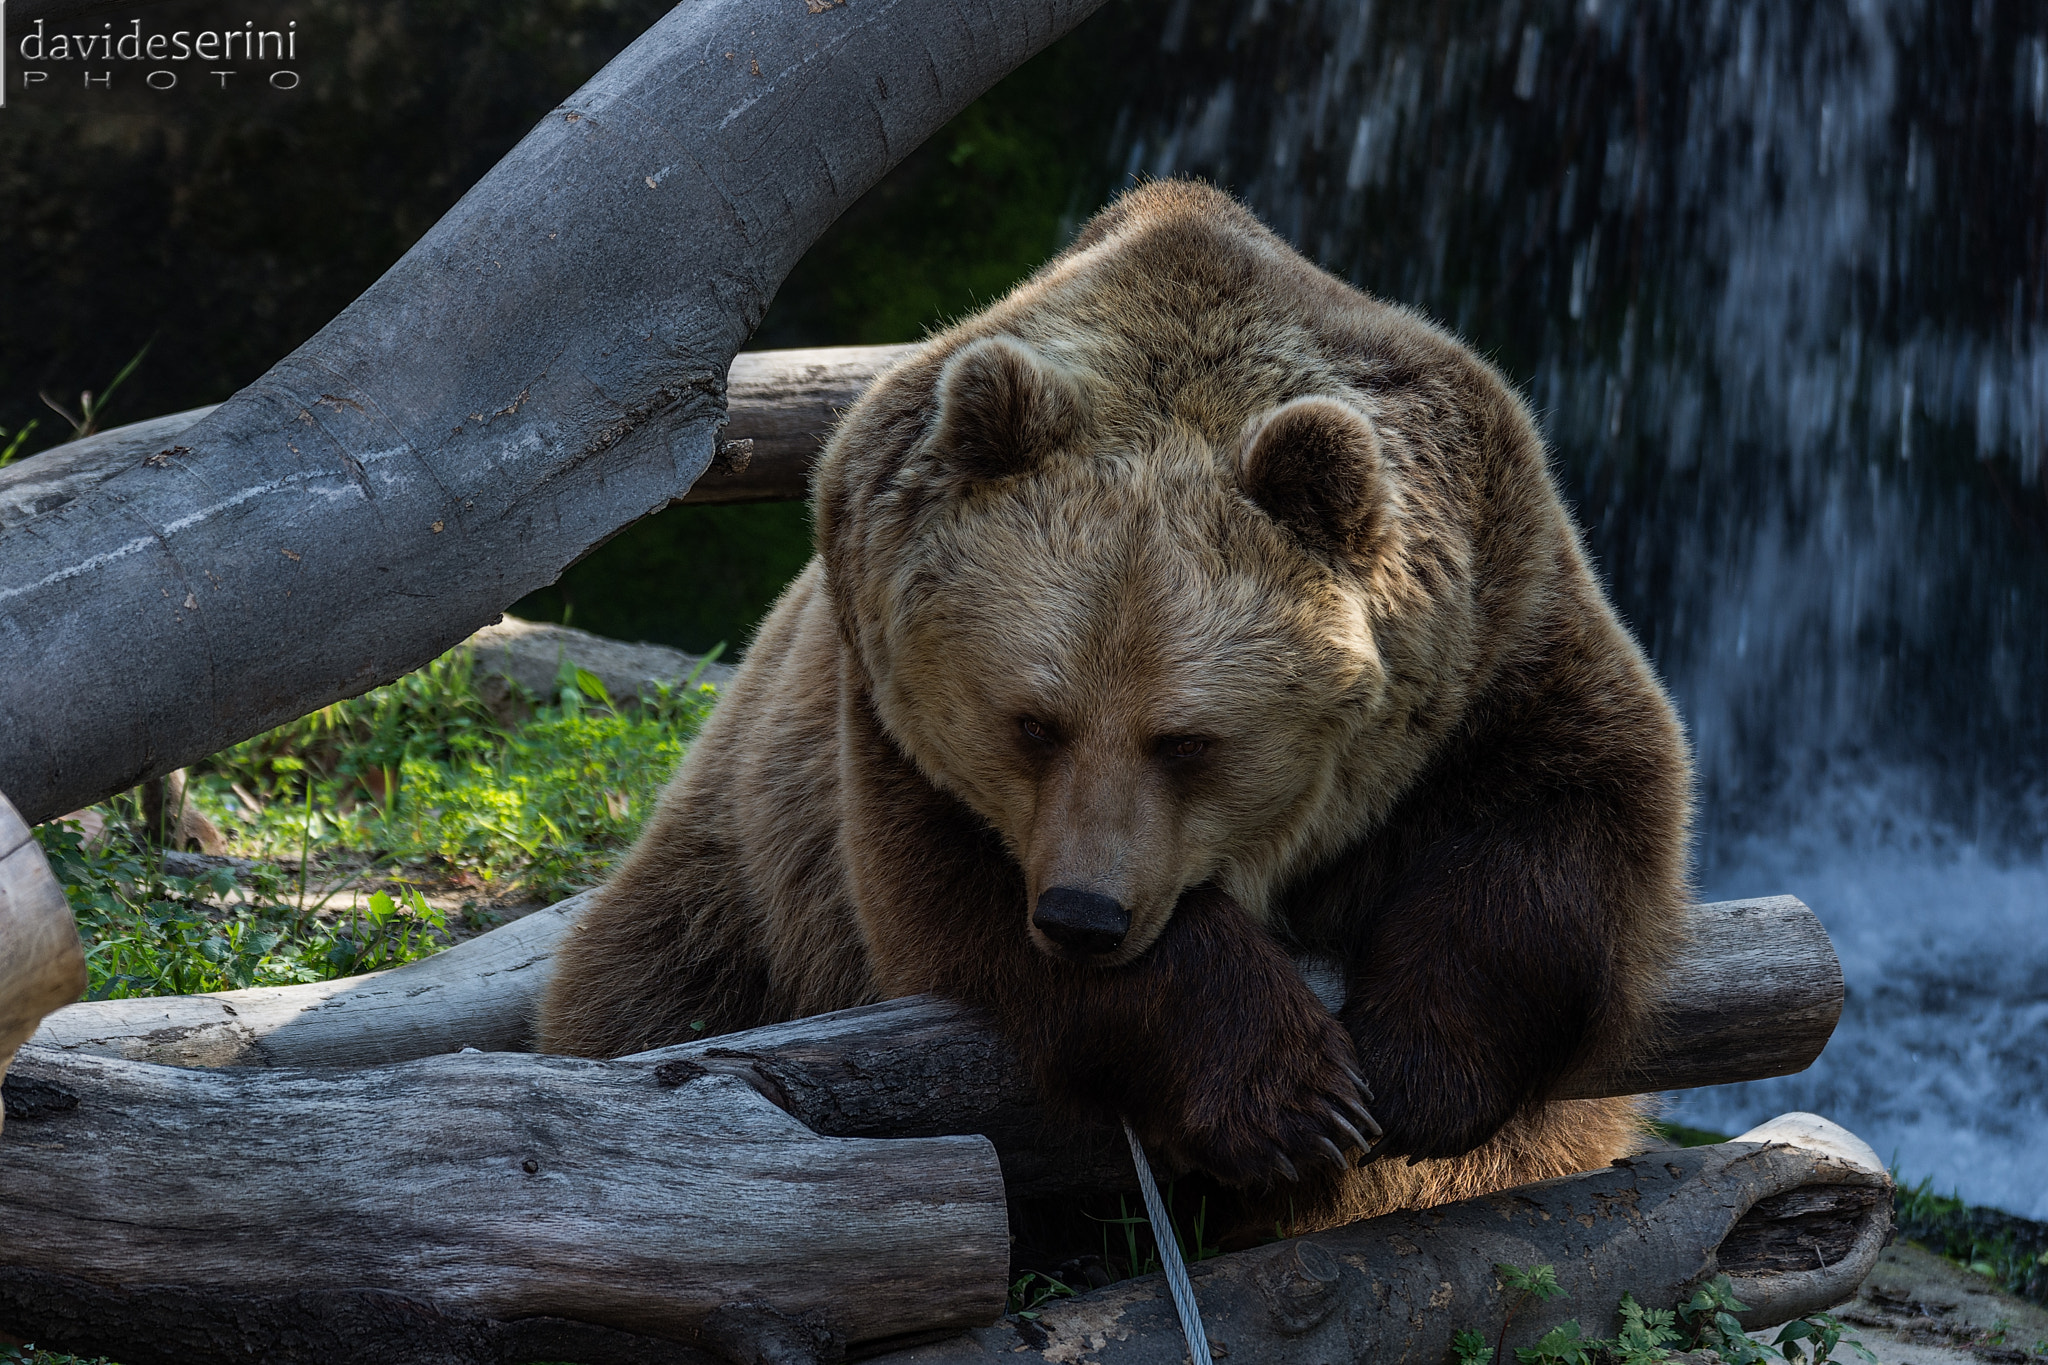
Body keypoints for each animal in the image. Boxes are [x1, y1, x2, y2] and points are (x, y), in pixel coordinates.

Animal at [538, 179, 1692, 1229]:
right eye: (1030, 723)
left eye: (1186, 740)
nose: (1084, 914)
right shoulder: (887, 730)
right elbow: (968, 907)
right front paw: (1286, 1098)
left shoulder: (1498, 635)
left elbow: (1567, 816)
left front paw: (1419, 1075)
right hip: (739, 886)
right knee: (662, 981)